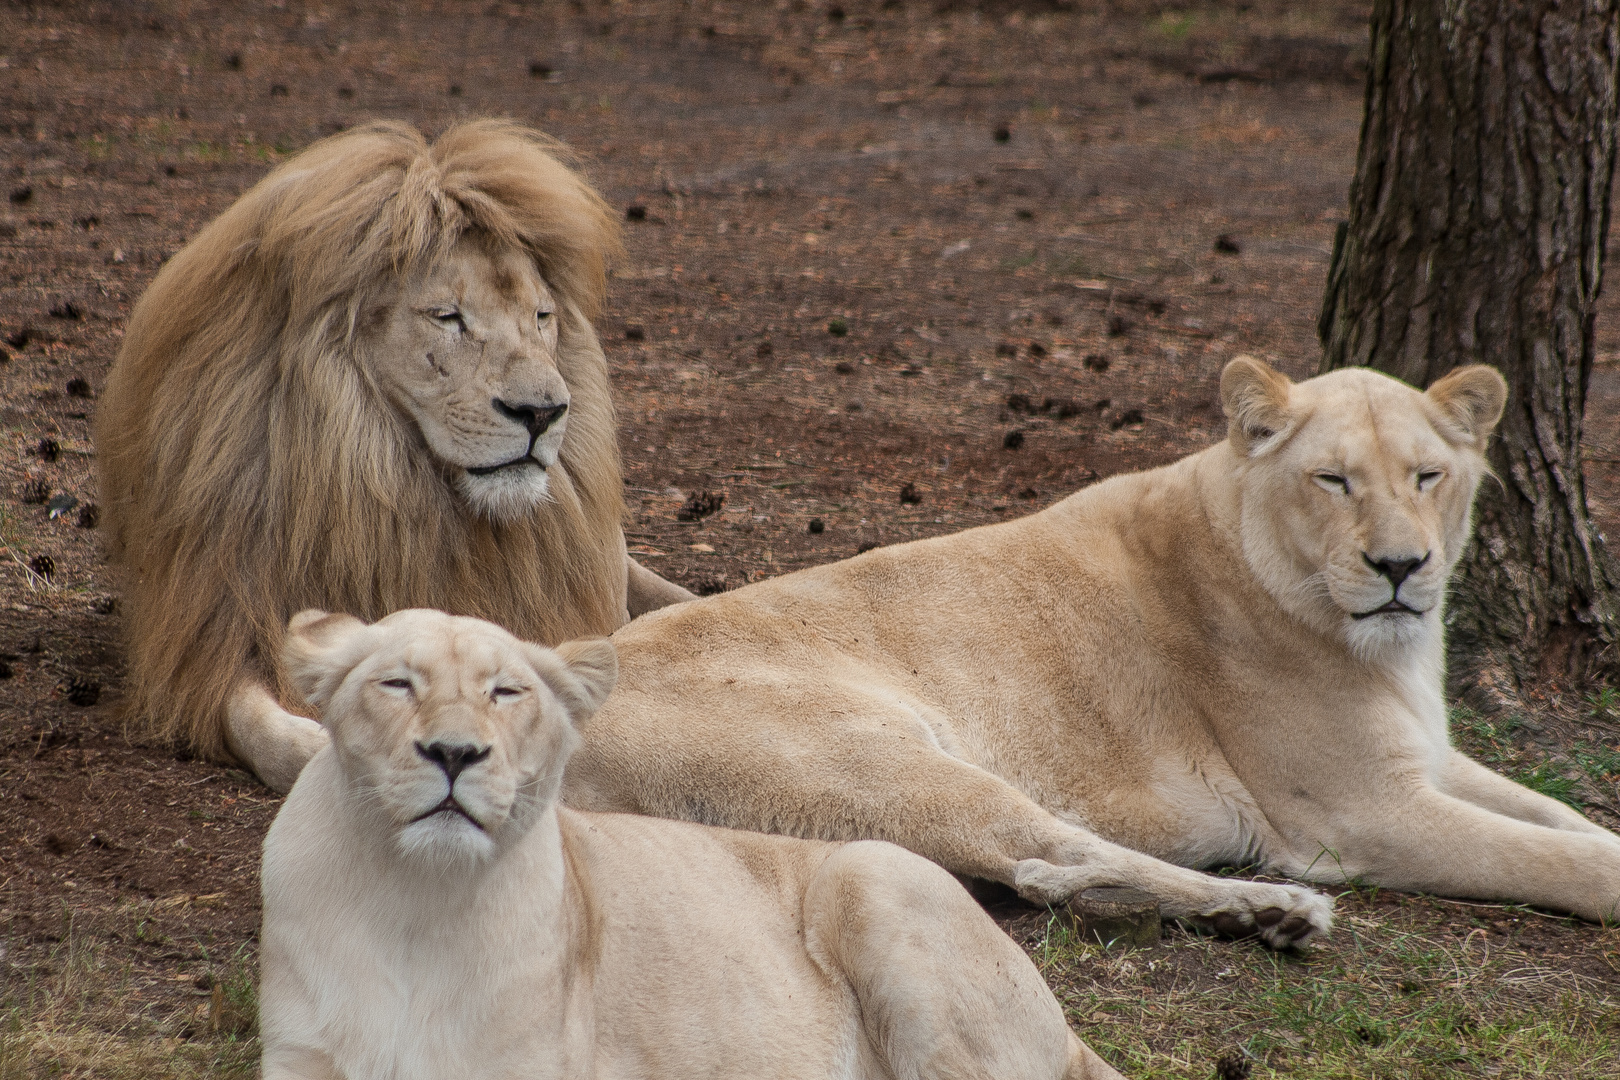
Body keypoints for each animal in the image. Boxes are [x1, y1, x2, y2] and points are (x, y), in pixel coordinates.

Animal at [94, 120, 690, 793]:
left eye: (542, 316)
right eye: (448, 317)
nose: (543, 413)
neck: (391, 487)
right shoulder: (218, 622)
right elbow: (259, 726)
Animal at [262, 608, 1127, 1080]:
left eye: (507, 692)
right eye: (395, 683)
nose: (453, 753)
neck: (417, 900)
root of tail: (1065, 1027)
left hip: (869, 867)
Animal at [557, 359, 1620, 939]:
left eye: (1427, 476)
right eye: (1333, 481)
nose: (1402, 567)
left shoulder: (1430, 762)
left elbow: (1567, 819)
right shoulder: (1366, 813)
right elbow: (1551, 856)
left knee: (1040, 874)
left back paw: (1252, 916)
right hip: (878, 760)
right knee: (1050, 851)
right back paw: (1276, 909)